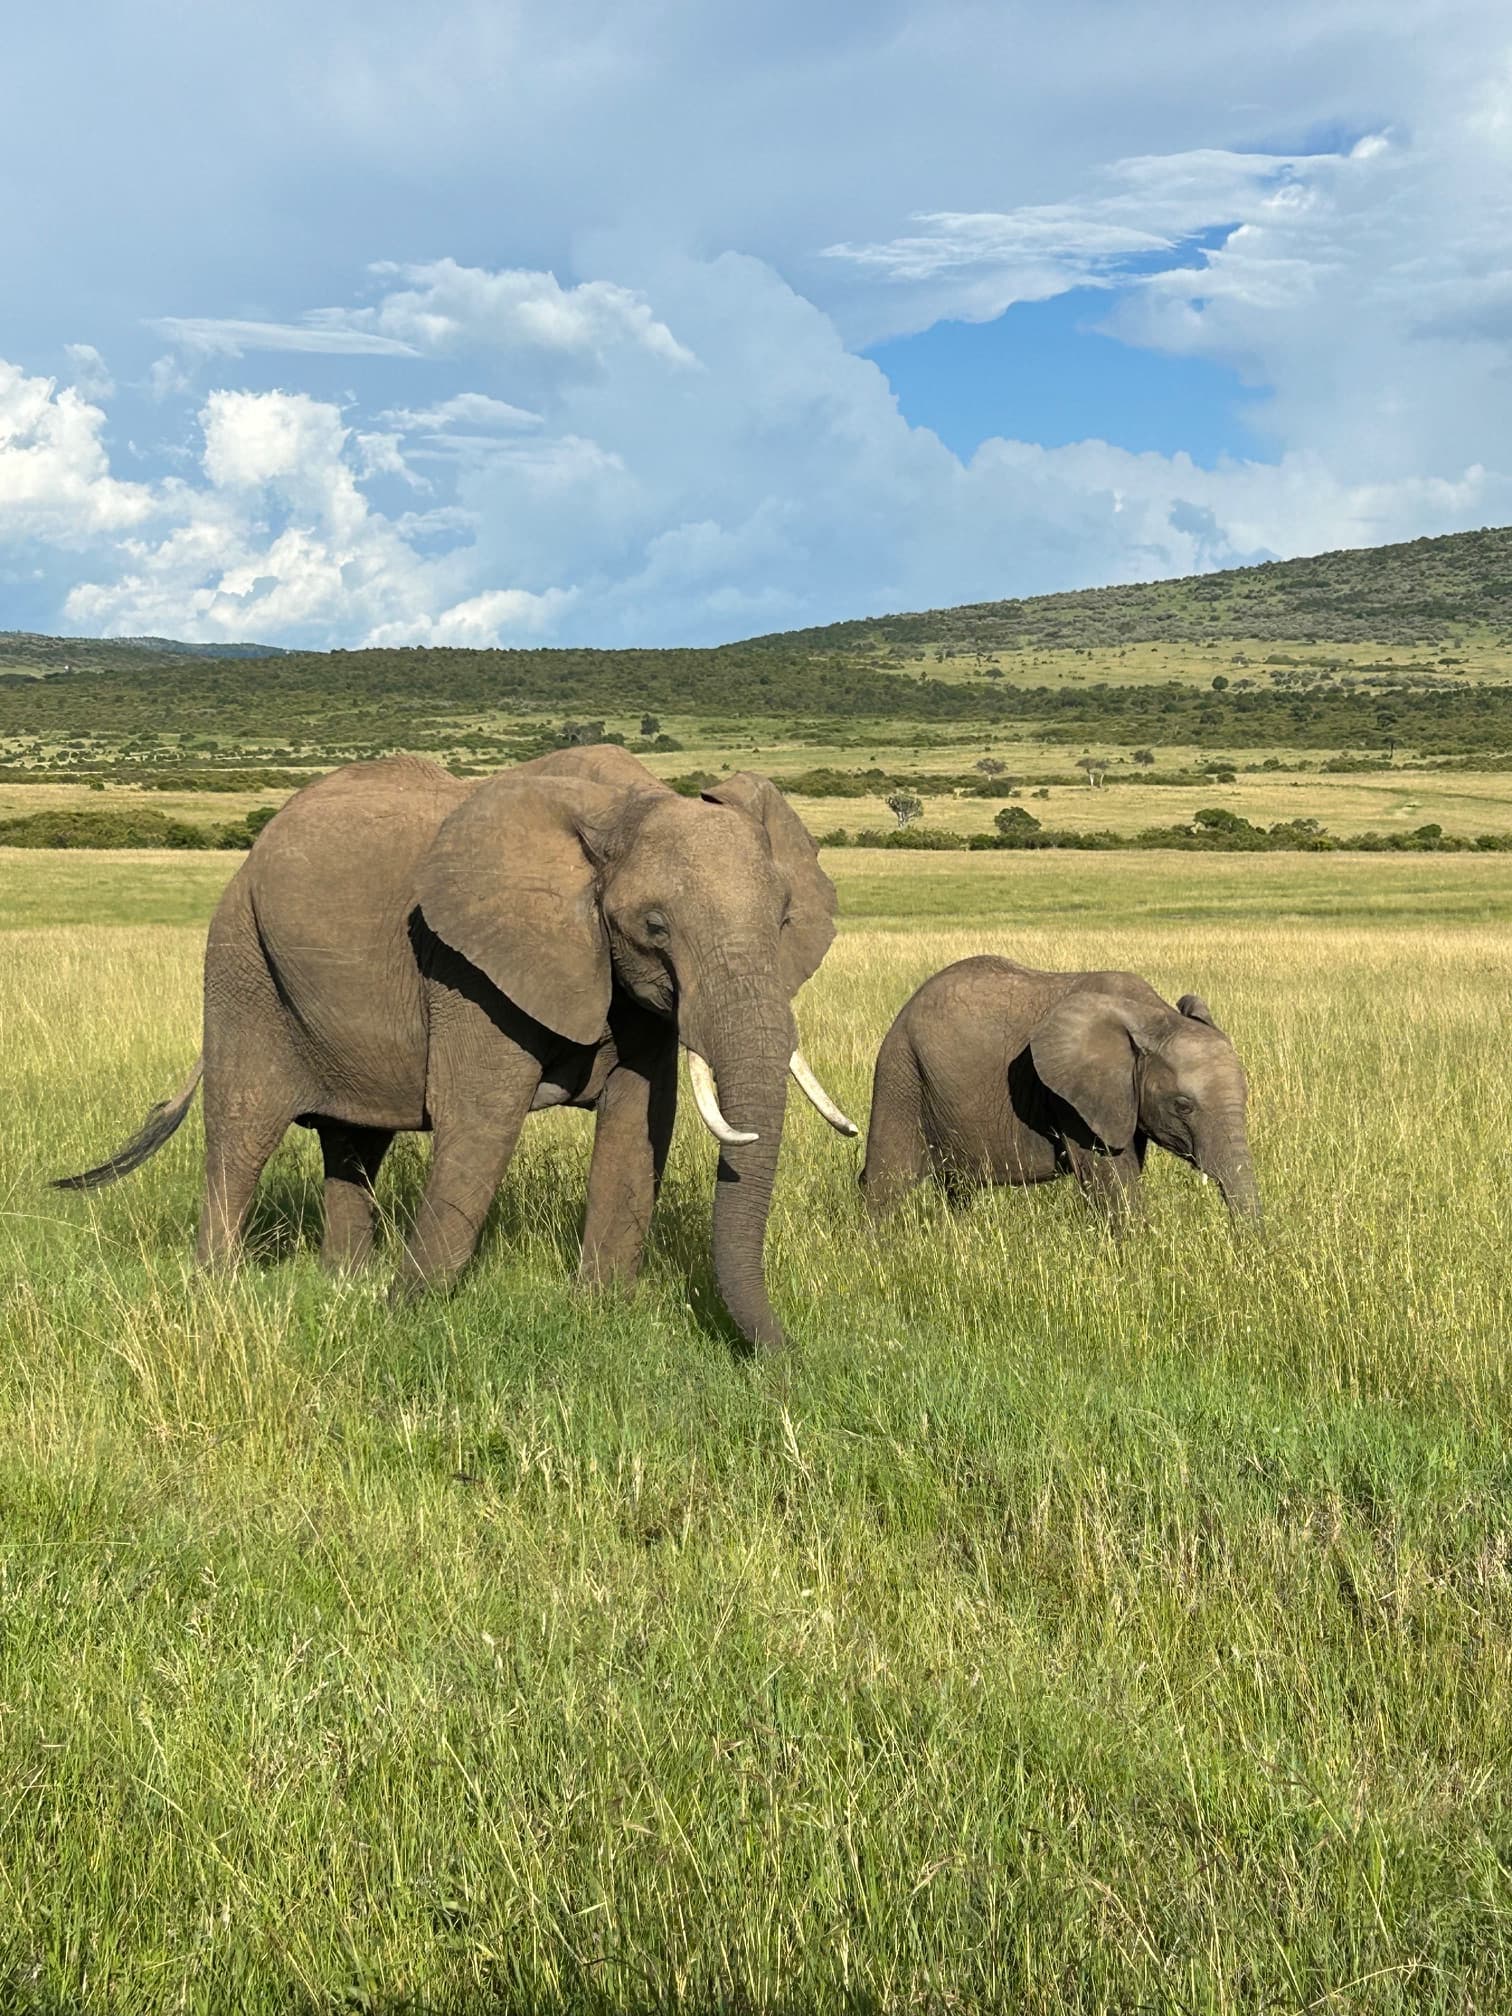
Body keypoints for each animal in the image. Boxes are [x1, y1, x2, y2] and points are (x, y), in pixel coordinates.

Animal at [56, 744, 858, 1351]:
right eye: (654, 926)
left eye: (784, 918)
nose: (791, 1357)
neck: (621, 807)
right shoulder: (468, 967)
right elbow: (481, 1120)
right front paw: (402, 1316)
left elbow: (639, 1125)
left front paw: (597, 1312)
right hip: (240, 959)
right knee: (244, 1129)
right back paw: (219, 1289)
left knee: (354, 1142)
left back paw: (341, 1283)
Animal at [860, 956, 1259, 1225]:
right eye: (1183, 1105)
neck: (1152, 1016)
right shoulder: (1070, 1096)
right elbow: (1113, 1181)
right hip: (901, 1074)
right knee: (886, 1182)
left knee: (958, 1188)